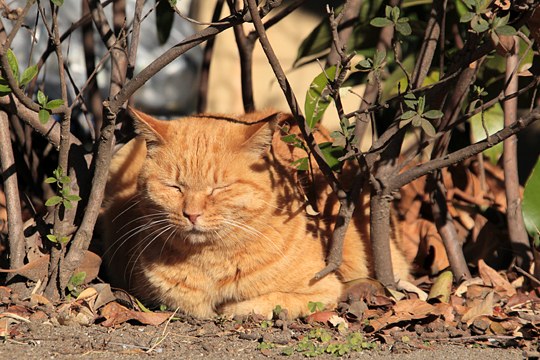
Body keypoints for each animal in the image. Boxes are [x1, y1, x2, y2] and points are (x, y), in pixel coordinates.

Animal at [102, 108, 410, 320]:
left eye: (219, 188)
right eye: (175, 187)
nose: (191, 214)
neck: (210, 262)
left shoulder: (323, 290)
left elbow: (262, 302)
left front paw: (231, 306)